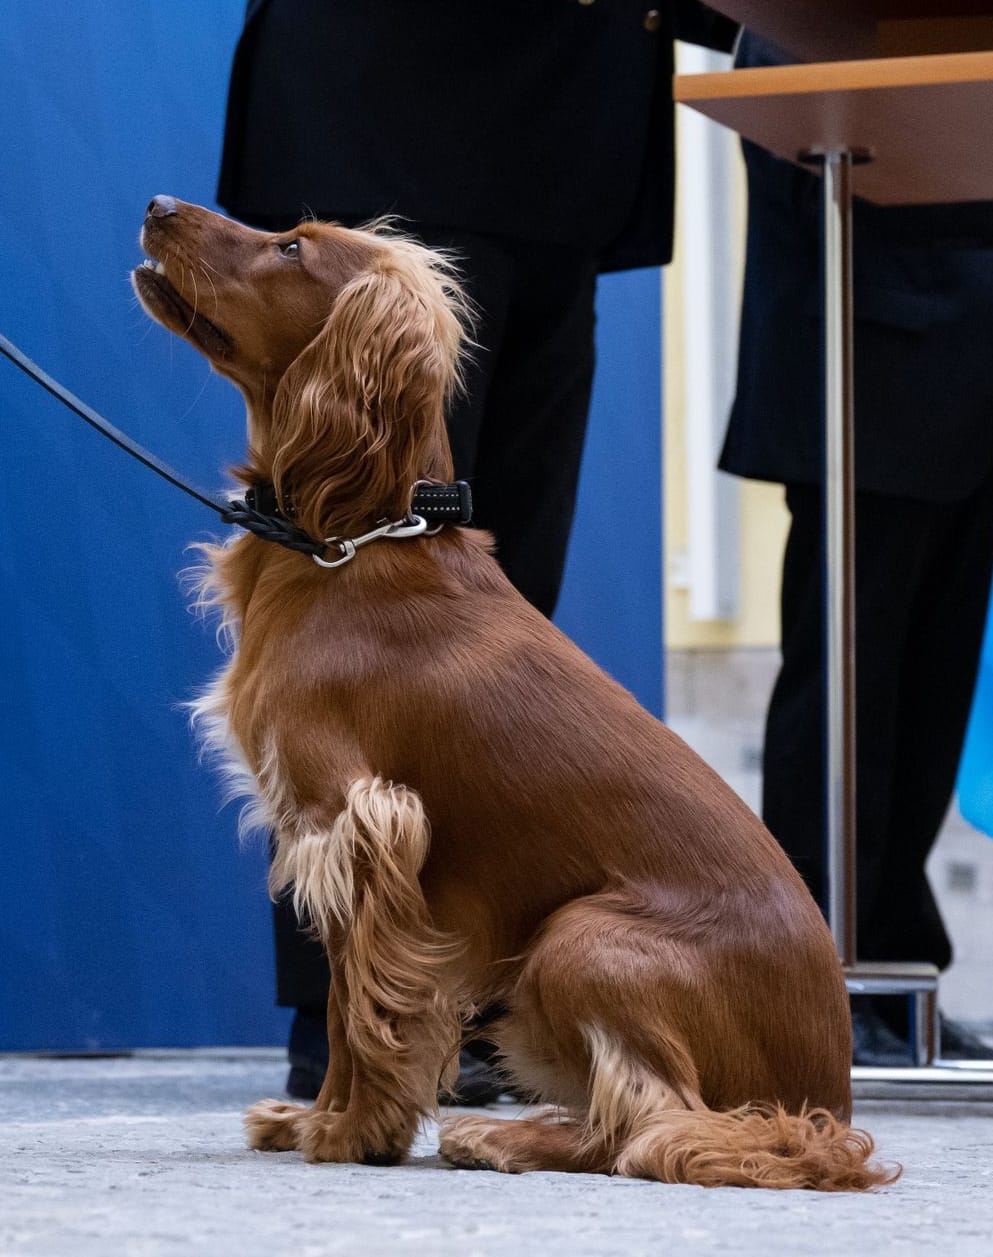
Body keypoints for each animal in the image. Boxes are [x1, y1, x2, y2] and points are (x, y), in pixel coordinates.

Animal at [133, 196, 899, 1186]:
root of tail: (829, 1102)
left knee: (654, 1125)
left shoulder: (361, 817)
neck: (354, 537)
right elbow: (345, 997)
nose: (157, 205)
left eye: (291, 247)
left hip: (581, 936)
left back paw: (503, 1136)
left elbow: (358, 1005)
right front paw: (317, 1116)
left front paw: (350, 1130)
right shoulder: (343, 836)